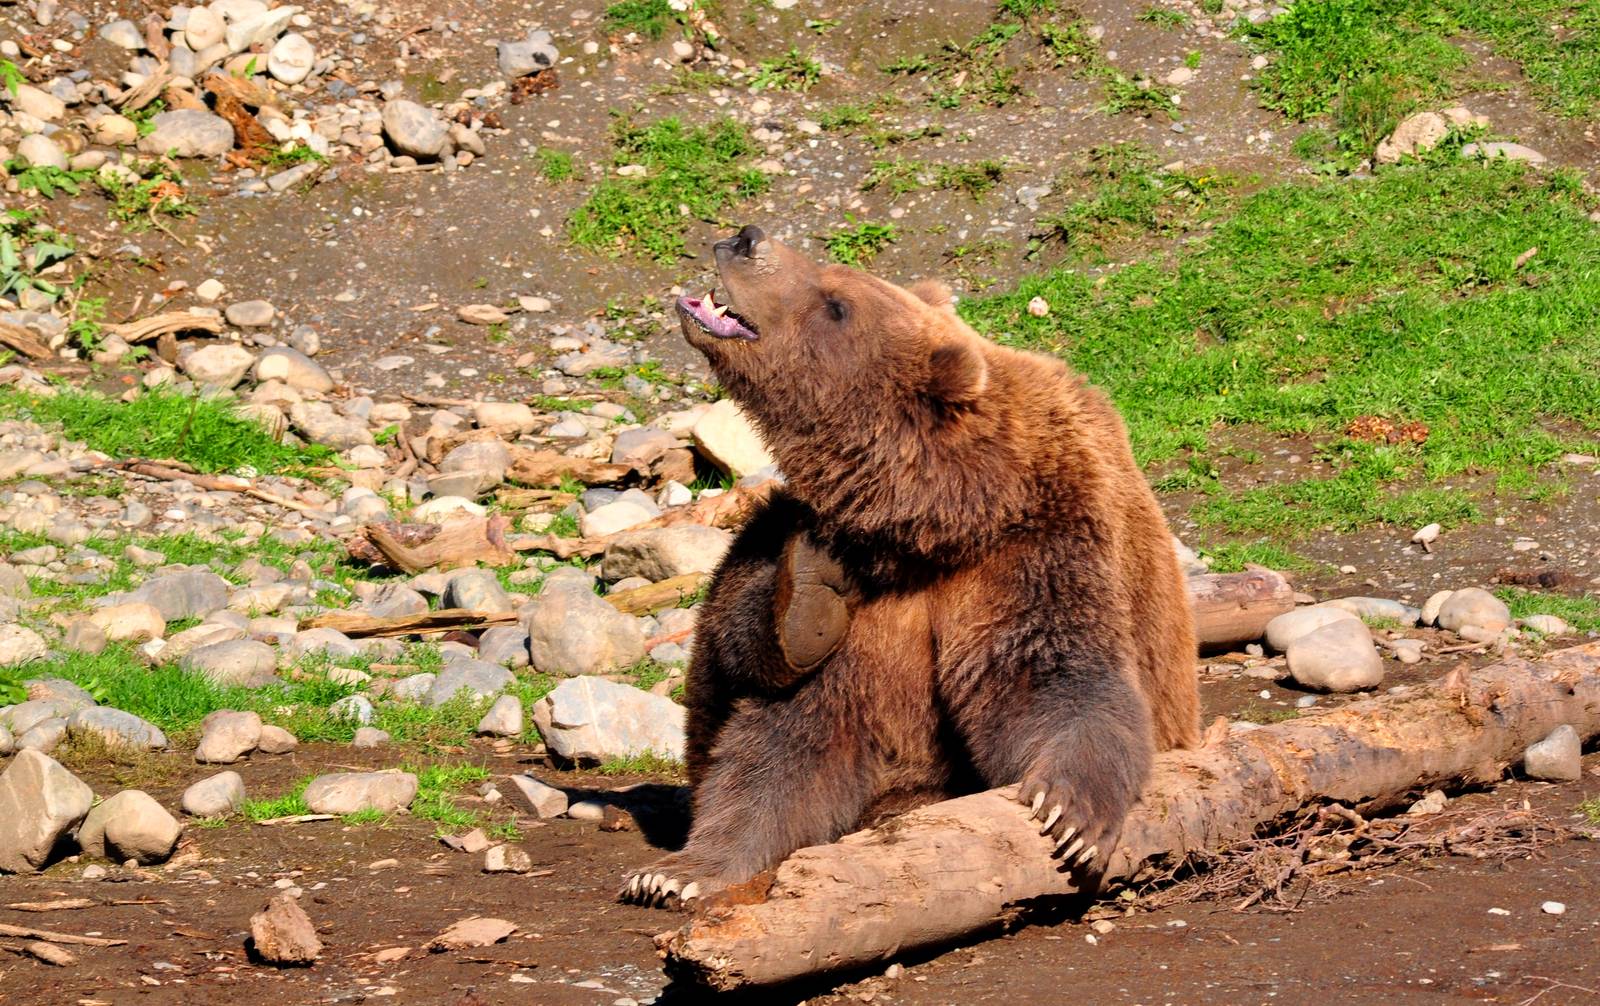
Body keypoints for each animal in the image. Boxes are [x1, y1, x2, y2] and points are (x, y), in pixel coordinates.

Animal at [620, 225, 1198, 908]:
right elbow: (773, 715)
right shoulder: (840, 568)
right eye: (834, 280)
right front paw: (679, 871)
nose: (746, 238)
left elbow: (1054, 674)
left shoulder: (1038, 547)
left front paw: (1069, 813)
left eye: (837, 304)